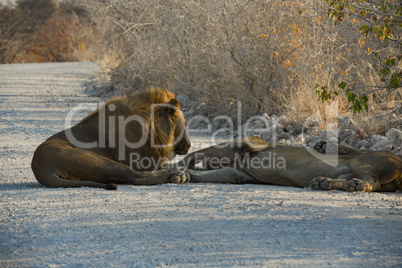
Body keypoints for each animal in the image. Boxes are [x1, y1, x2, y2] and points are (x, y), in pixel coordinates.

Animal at [30, 87, 191, 189]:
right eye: (185, 124)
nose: (189, 145)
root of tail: (40, 166)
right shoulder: (139, 161)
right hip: (101, 162)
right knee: (137, 177)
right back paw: (176, 176)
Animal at [180, 136, 402, 193]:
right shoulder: (240, 173)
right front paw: (186, 174)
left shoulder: (250, 143)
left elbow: (199, 153)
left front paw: (179, 167)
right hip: (349, 170)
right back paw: (324, 182)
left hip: (363, 161)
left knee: (372, 180)